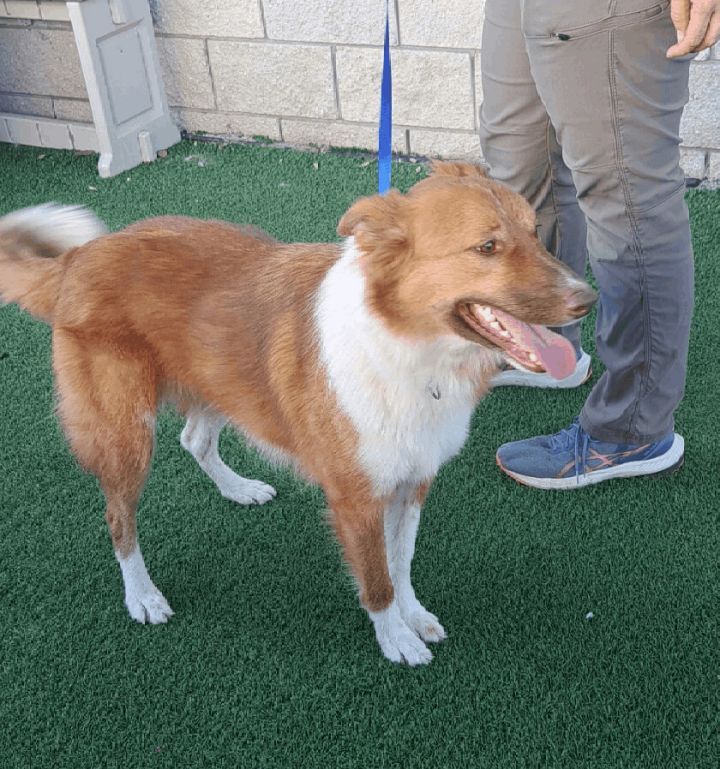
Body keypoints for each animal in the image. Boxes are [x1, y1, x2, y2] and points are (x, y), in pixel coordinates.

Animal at [0, 164, 592, 664]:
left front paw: (415, 615)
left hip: (221, 382)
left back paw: (238, 488)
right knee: (119, 517)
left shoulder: (413, 479)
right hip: (125, 434)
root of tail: (78, 258)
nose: (587, 300)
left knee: (194, 439)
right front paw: (395, 638)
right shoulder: (356, 497)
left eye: (535, 233)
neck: (411, 350)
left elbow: (401, 562)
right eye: (487, 247)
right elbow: (377, 577)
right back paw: (142, 596)